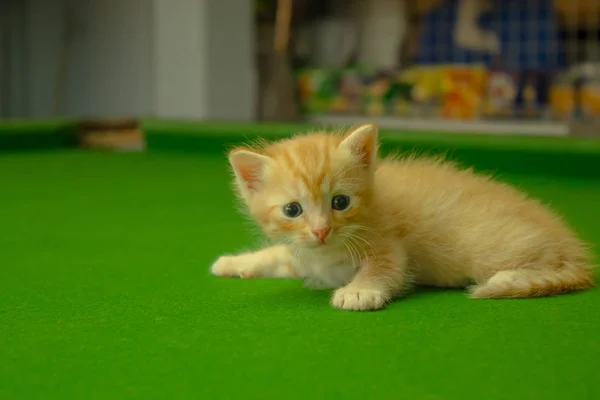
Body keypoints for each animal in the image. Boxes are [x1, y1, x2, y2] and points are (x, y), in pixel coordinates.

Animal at [211, 123, 596, 310]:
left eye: (340, 202)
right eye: (293, 210)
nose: (321, 231)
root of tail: (572, 245)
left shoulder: (389, 245)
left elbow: (384, 268)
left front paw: (359, 291)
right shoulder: (303, 253)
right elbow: (278, 255)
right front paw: (233, 263)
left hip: (494, 250)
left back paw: (512, 277)